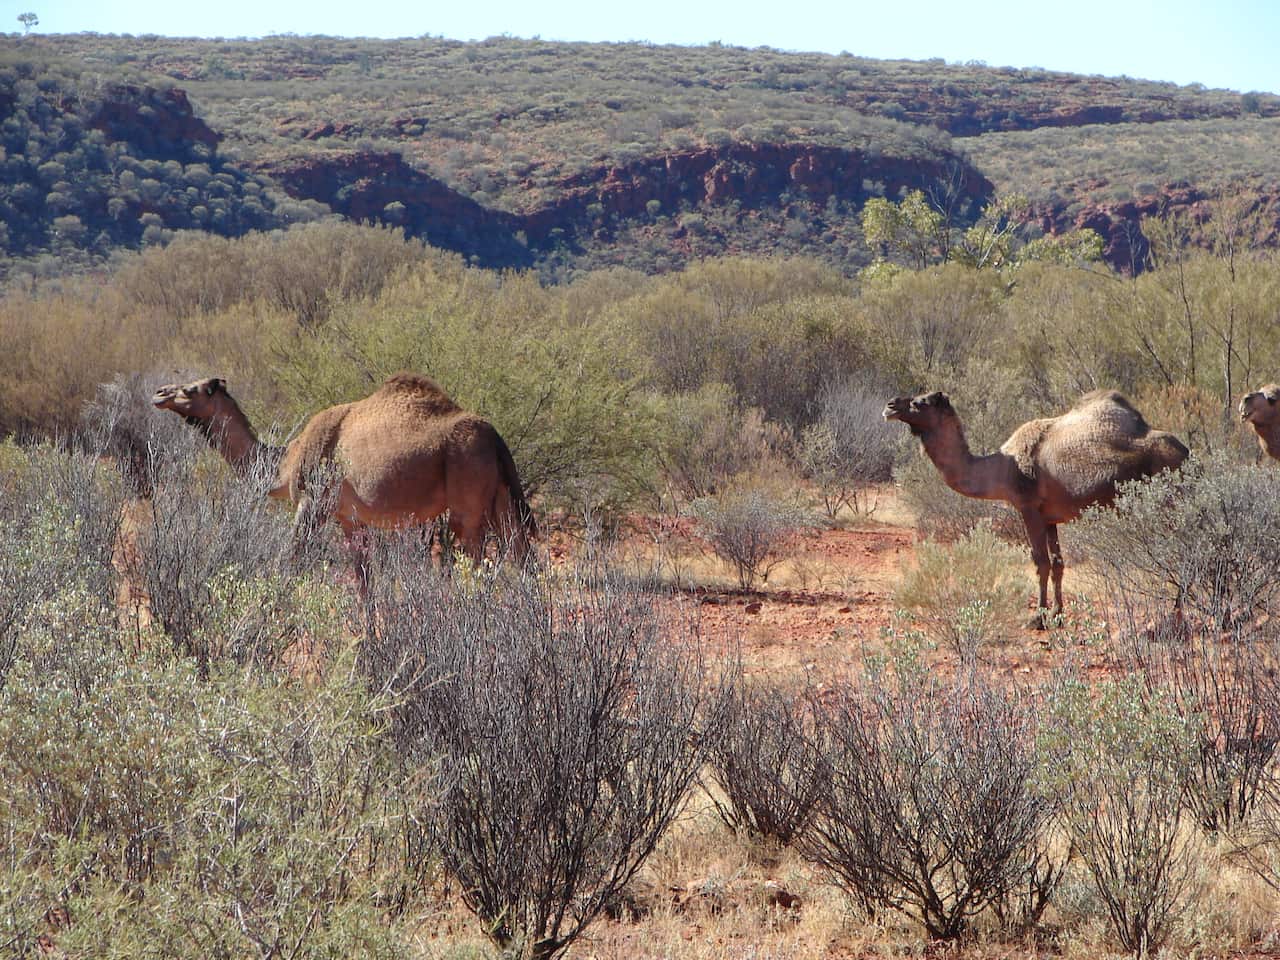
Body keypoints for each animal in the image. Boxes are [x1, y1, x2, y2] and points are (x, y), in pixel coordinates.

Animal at [151, 373, 535, 569]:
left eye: (191, 389)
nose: (159, 393)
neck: (284, 464)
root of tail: (495, 438)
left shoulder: (311, 502)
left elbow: (291, 559)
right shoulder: (351, 519)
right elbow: (363, 579)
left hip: (466, 501)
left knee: (480, 560)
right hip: (501, 497)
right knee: (521, 557)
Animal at [883, 389, 1189, 628]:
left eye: (921, 402)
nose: (890, 405)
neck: (1003, 466)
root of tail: (1185, 452)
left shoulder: (1028, 508)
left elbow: (1040, 562)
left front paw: (1038, 618)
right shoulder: (1050, 516)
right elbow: (1058, 564)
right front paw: (1057, 614)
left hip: (1168, 504)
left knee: (1181, 551)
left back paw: (1175, 617)